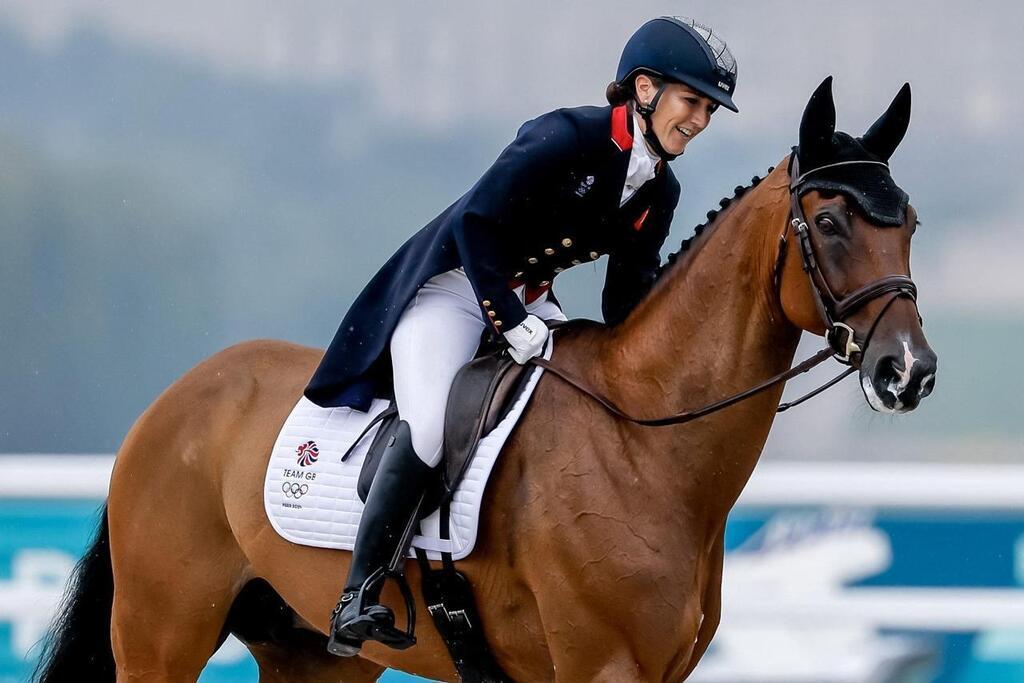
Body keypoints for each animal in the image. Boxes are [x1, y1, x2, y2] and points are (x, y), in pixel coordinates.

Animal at [36, 80, 937, 683]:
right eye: (829, 222)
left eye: (911, 223)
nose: (910, 373)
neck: (645, 442)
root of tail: (175, 399)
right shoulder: (600, 665)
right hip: (160, 632)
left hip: (313, 656)